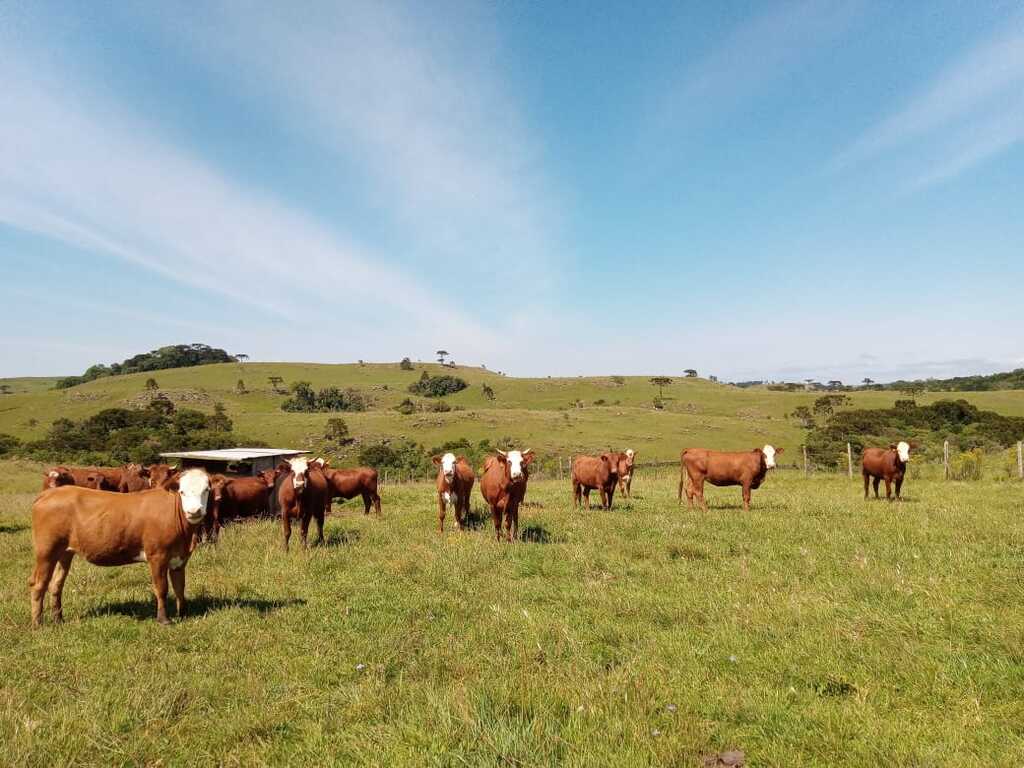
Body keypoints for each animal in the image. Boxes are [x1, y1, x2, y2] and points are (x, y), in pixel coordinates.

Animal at [29, 468, 211, 626]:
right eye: (182, 492)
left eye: (206, 490)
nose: (194, 511)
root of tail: (49, 493)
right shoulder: (157, 555)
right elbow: (162, 588)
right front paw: (163, 620)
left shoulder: (179, 558)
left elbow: (180, 587)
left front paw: (184, 615)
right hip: (46, 550)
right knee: (38, 584)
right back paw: (37, 623)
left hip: (65, 552)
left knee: (56, 584)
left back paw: (58, 619)